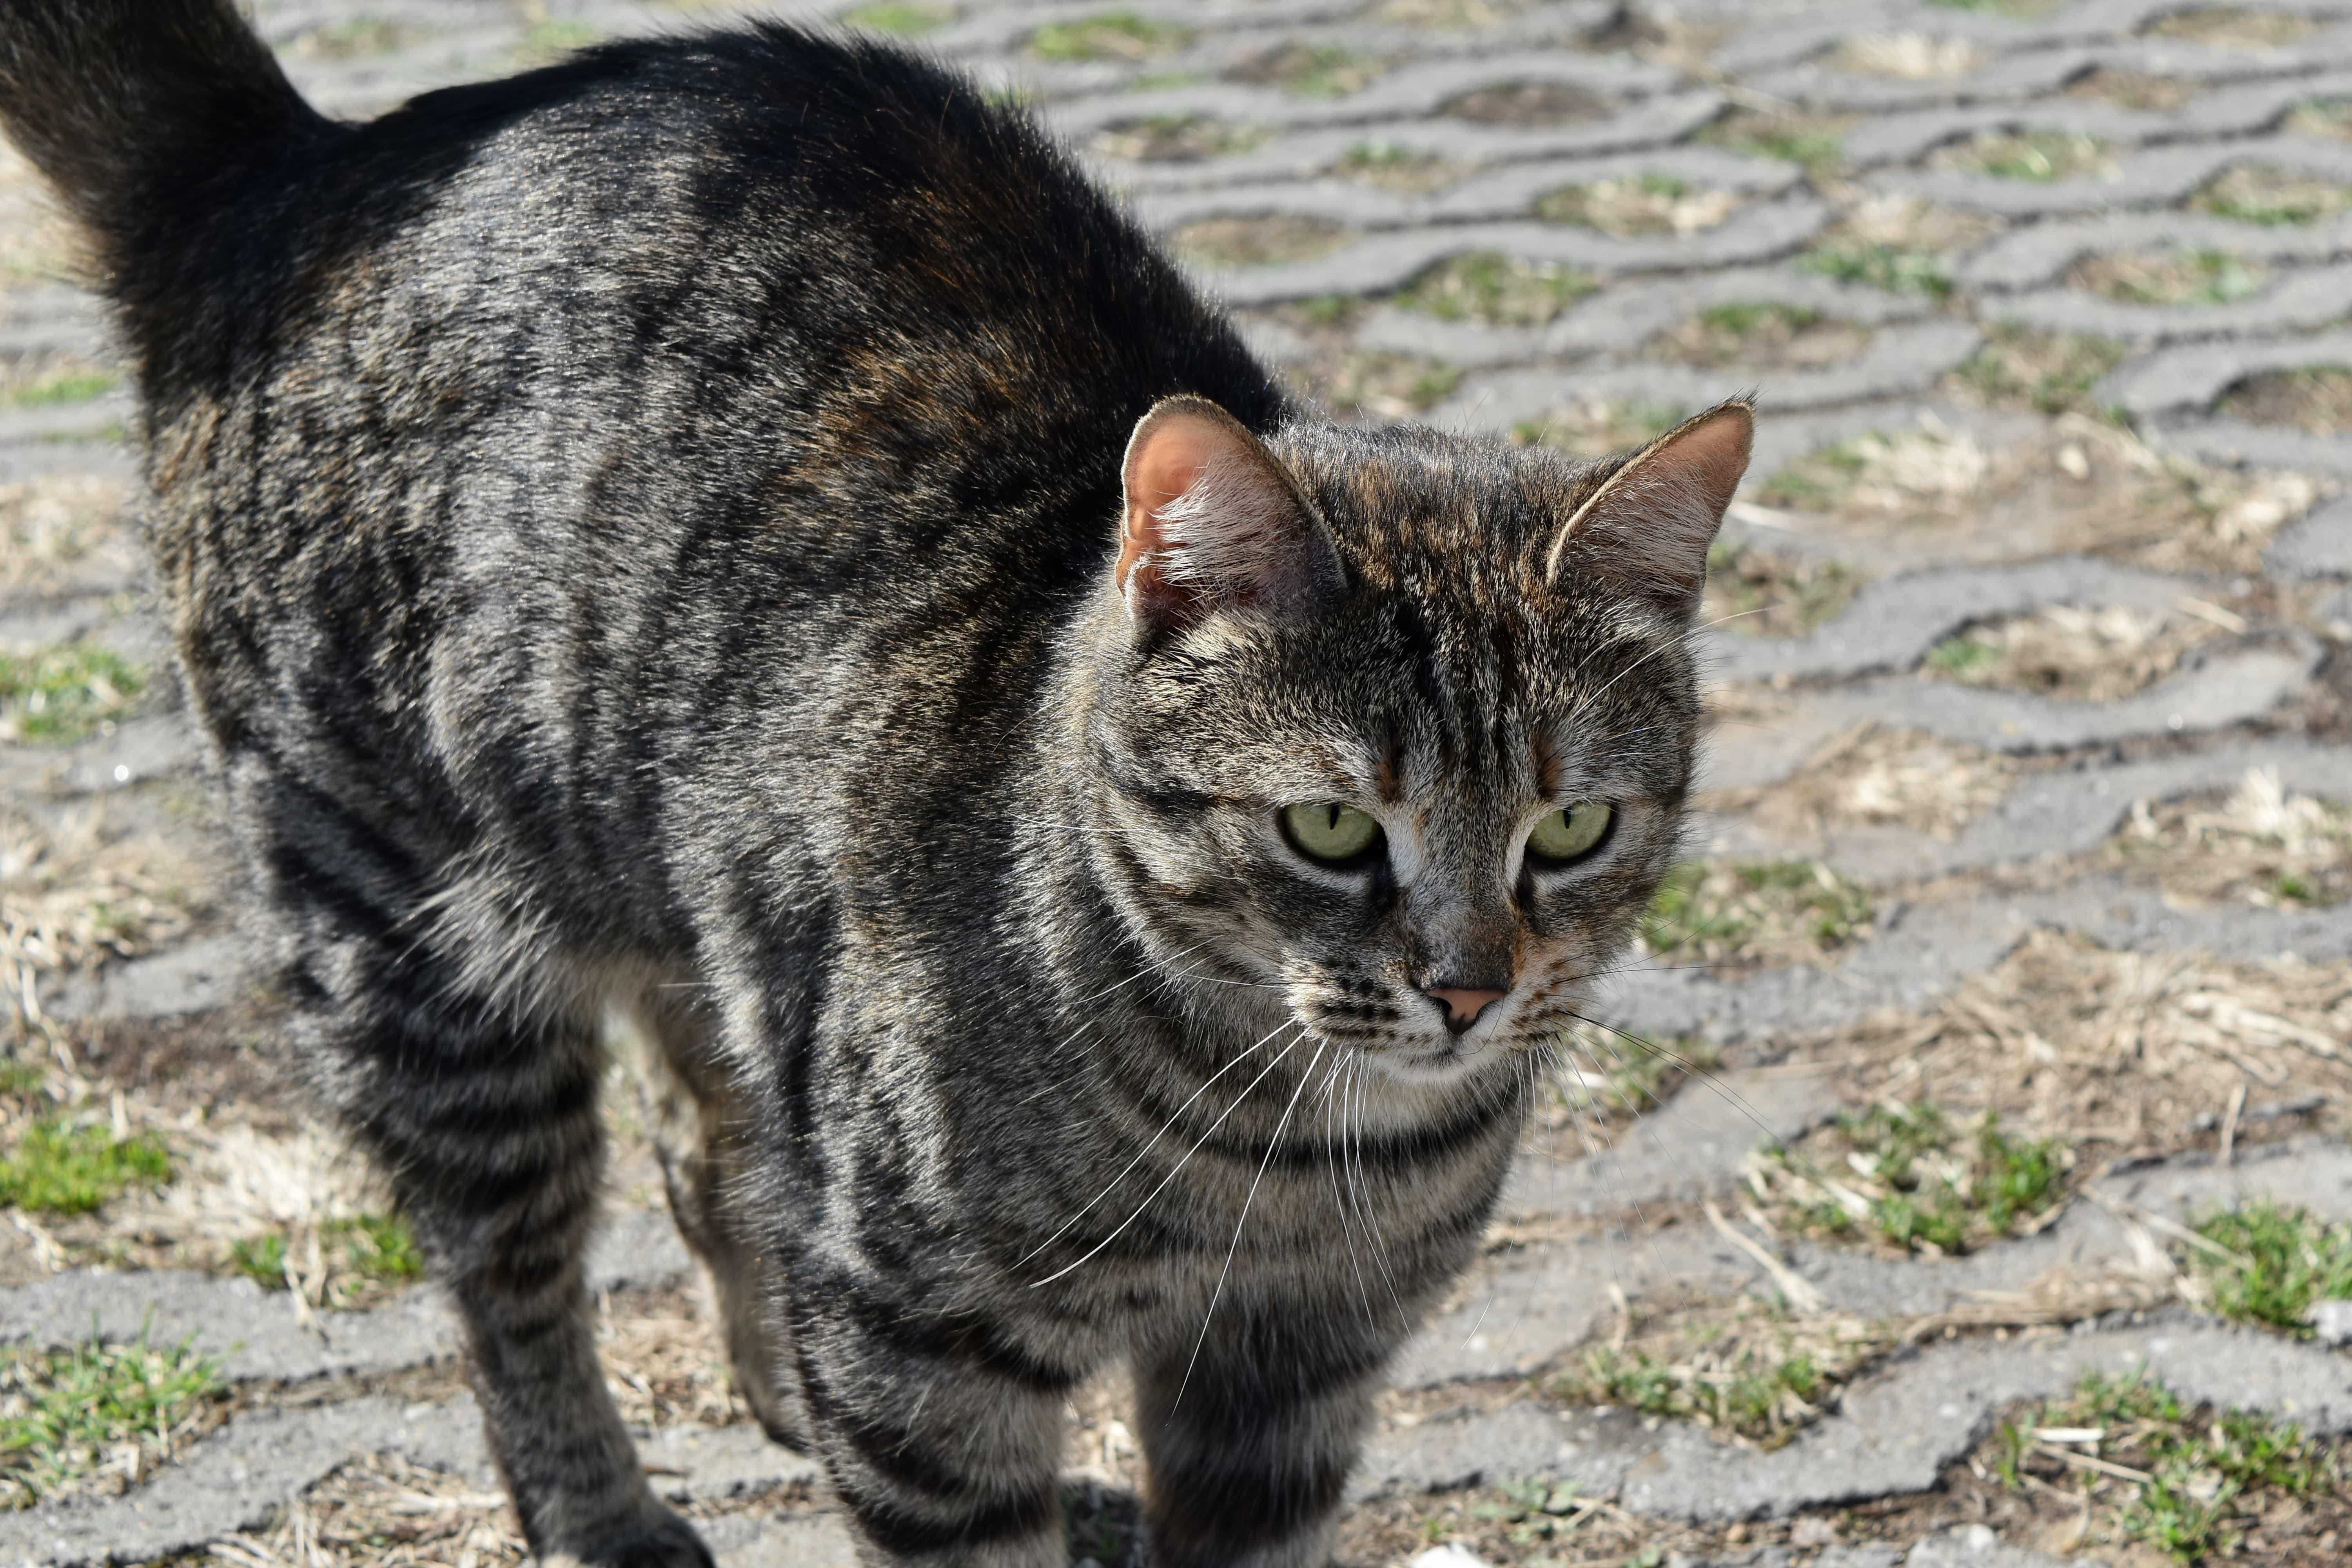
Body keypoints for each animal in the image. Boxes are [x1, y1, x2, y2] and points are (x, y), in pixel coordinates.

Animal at [0, 6, 1750, 1561]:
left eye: (1569, 828)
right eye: (1330, 827)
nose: (1466, 989)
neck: (1291, 1157)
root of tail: (299, 162)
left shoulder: (1294, 1372)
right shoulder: (922, 1351)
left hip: (695, 920)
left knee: (706, 1151)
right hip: (419, 962)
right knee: (513, 1295)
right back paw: (606, 1517)